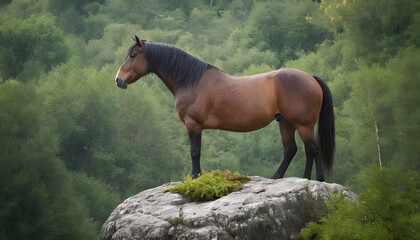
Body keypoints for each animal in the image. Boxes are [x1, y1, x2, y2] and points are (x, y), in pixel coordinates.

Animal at [115, 35, 334, 182]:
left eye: (133, 55)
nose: (118, 80)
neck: (191, 80)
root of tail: (310, 77)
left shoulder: (193, 125)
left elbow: (195, 152)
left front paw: (195, 177)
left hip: (302, 124)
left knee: (312, 148)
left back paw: (312, 179)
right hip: (286, 122)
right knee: (292, 150)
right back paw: (281, 177)